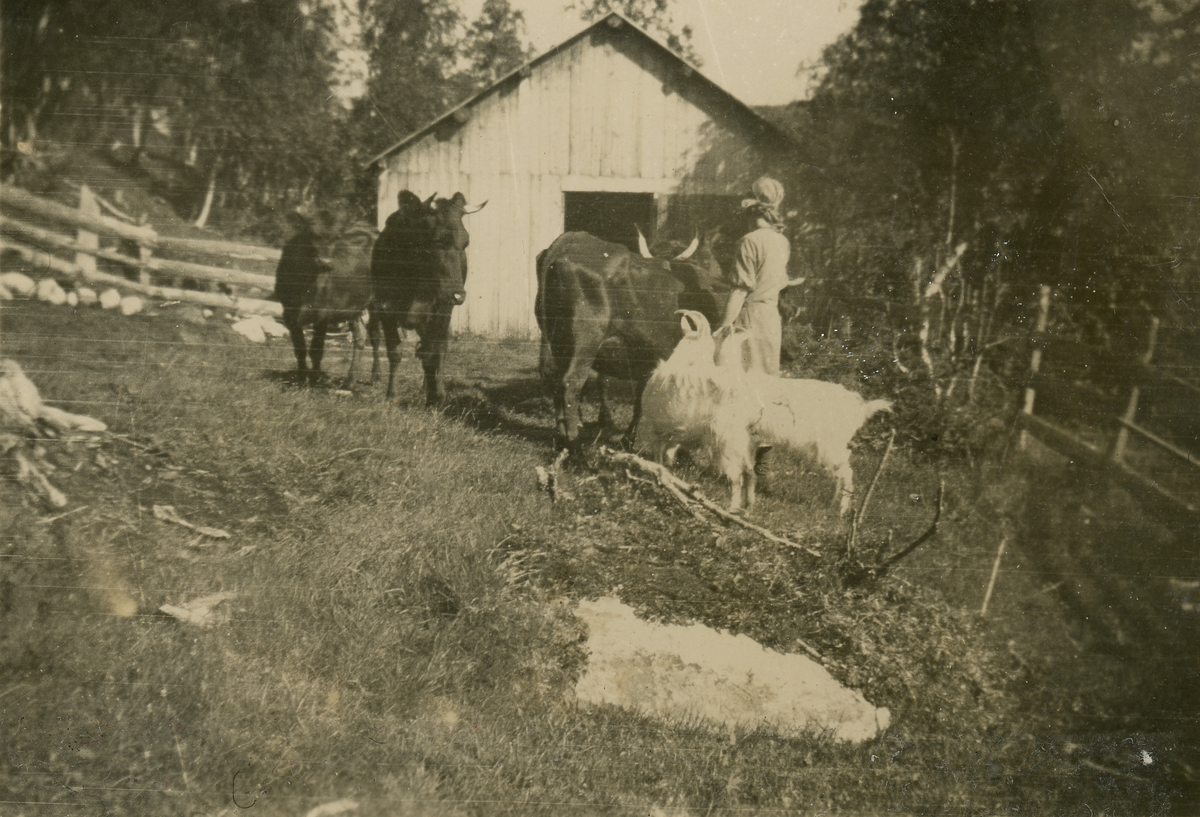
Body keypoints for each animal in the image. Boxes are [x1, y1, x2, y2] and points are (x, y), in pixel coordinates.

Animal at [374, 188, 487, 405]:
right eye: (438, 240)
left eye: (466, 242)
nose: (458, 295)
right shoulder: (384, 308)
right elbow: (394, 351)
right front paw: (391, 395)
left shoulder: (440, 310)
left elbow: (432, 353)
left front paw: (435, 397)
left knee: (438, 349)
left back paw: (436, 391)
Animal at [537, 229, 724, 448]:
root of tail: (570, 240)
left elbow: (640, 400)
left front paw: (629, 439)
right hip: (585, 342)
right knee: (571, 383)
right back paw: (575, 444)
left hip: (558, 343)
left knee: (555, 379)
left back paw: (562, 439)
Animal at [638, 309, 758, 508]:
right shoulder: (674, 433)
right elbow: (668, 456)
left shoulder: (659, 431)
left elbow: (659, 457)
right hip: (740, 440)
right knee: (749, 470)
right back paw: (748, 507)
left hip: (725, 439)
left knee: (735, 476)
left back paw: (731, 508)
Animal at [710, 326, 892, 513]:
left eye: (720, 332)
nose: (712, 334)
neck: (735, 378)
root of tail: (860, 409)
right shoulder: (745, 438)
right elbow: (748, 471)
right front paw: (748, 504)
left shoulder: (732, 435)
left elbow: (736, 473)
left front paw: (733, 506)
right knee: (840, 472)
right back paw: (832, 503)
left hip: (831, 446)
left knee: (847, 472)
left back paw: (842, 510)